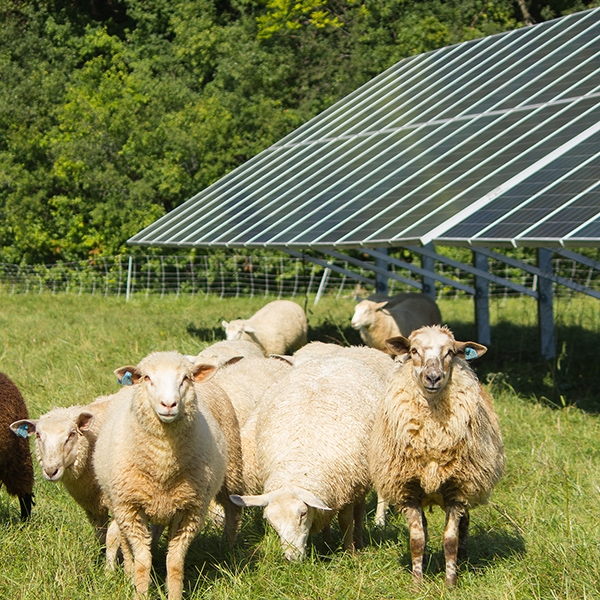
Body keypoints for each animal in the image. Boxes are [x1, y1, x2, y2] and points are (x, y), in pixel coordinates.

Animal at [95, 352, 231, 600]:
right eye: (147, 377)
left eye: (186, 378)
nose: (169, 404)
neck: (163, 464)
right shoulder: (130, 508)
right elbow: (142, 560)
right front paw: (139, 592)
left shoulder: (190, 512)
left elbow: (175, 562)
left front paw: (173, 593)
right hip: (117, 503)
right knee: (126, 545)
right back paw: (127, 575)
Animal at [232, 354, 382, 560]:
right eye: (270, 520)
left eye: (302, 514)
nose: (292, 558)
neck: (297, 465)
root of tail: (332, 358)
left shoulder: (347, 487)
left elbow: (346, 522)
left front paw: (350, 552)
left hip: (361, 476)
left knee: (359, 509)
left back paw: (358, 540)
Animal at [368, 326, 504, 588]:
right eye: (413, 350)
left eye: (450, 352)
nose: (433, 378)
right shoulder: (408, 489)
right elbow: (417, 539)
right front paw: (417, 583)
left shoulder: (457, 489)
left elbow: (450, 539)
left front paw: (450, 583)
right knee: (425, 526)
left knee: (464, 523)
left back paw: (462, 555)